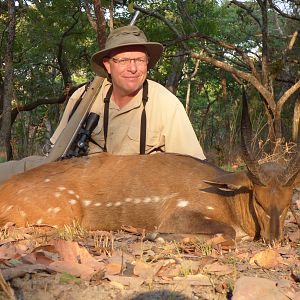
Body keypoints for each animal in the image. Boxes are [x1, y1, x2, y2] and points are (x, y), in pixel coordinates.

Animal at [0, 91, 298, 241]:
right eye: (258, 201)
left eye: (288, 204)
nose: (274, 239)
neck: (227, 200)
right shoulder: (179, 213)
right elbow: (228, 233)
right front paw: (156, 236)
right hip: (64, 215)